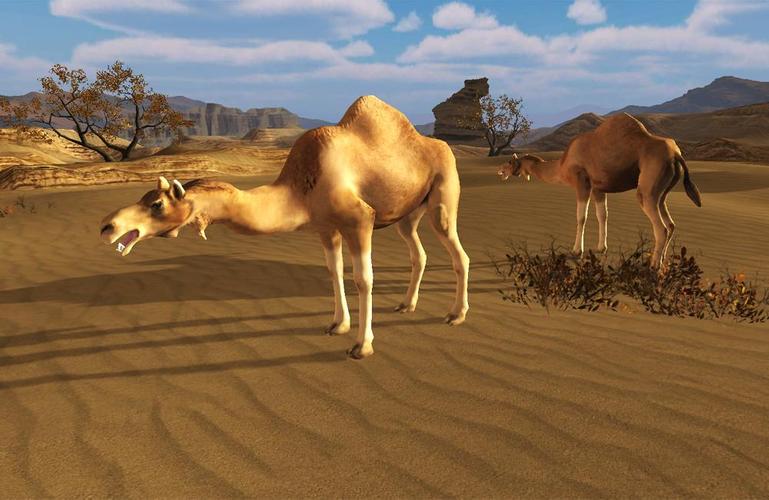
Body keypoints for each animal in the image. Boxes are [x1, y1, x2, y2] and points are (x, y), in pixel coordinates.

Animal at [100, 95, 470, 359]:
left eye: (157, 205)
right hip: (407, 215)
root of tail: (439, 145)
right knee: (418, 252)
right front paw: (338, 325)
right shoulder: (326, 227)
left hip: (443, 196)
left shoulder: (359, 220)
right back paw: (407, 305)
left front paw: (362, 346)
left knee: (458, 253)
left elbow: (363, 279)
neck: (302, 186)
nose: (107, 226)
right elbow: (334, 272)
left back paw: (455, 315)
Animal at [497, 113, 701, 268]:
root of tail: (675, 154)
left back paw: (653, 266)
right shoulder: (598, 188)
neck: (562, 165)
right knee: (670, 224)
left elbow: (581, 217)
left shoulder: (582, 182)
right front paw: (601, 248)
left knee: (661, 227)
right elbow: (603, 215)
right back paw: (663, 261)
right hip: (662, 191)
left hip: (648, 187)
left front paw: (576, 251)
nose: (500, 171)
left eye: (509, 162)